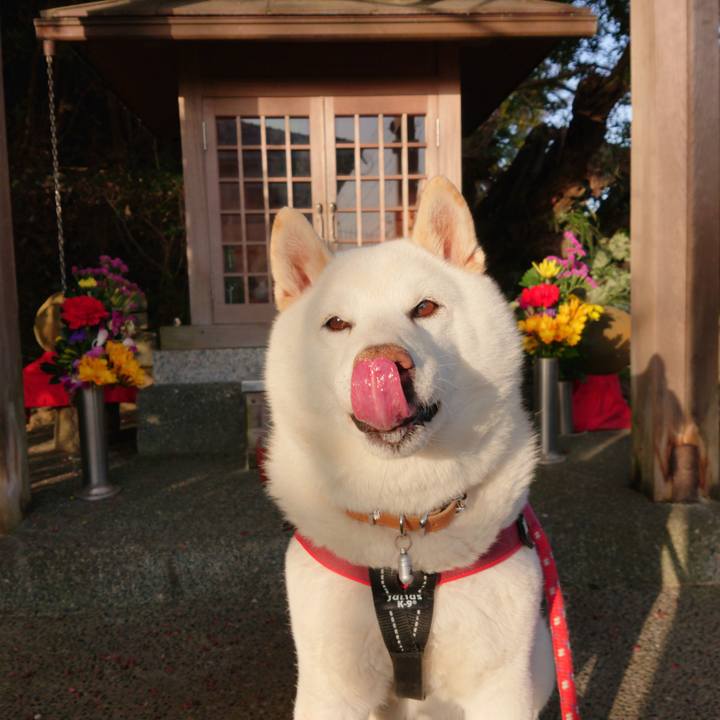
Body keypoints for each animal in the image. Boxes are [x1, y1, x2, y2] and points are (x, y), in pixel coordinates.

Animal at [264, 176, 554, 719]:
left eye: (424, 308)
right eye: (337, 323)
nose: (383, 365)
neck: (403, 519)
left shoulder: (501, 683)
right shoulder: (333, 684)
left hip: (541, 659)